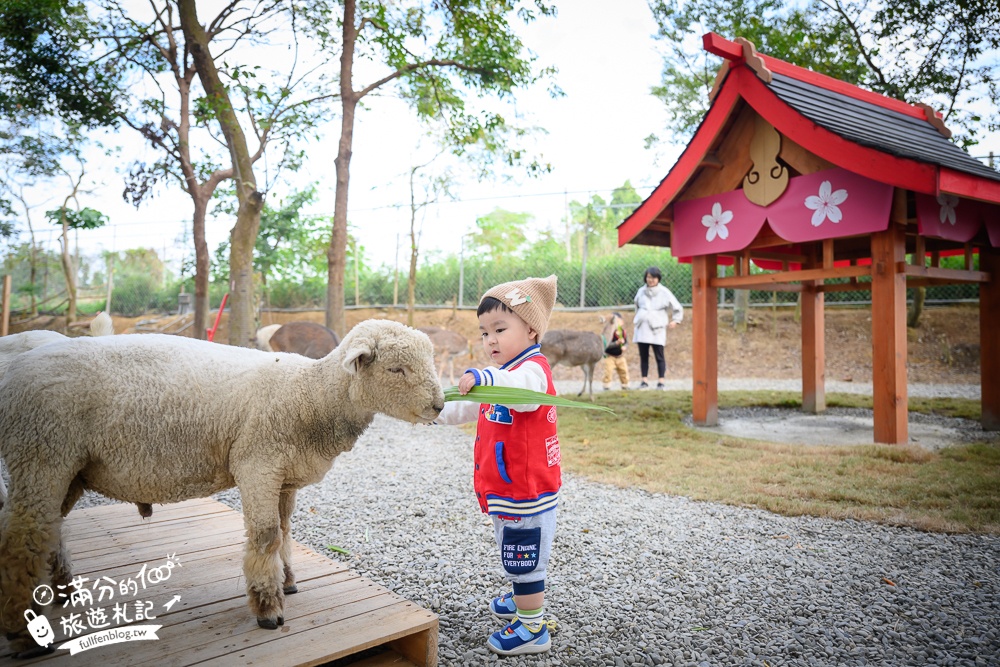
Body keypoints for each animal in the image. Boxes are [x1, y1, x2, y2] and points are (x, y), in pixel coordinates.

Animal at [0, 320, 442, 656]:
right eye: (396, 370)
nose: (439, 406)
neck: (311, 396)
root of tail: (14, 369)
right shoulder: (258, 464)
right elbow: (265, 536)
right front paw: (268, 608)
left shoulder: (285, 476)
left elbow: (285, 531)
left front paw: (288, 580)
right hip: (41, 453)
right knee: (22, 540)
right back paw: (24, 634)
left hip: (69, 469)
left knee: (48, 529)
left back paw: (64, 592)